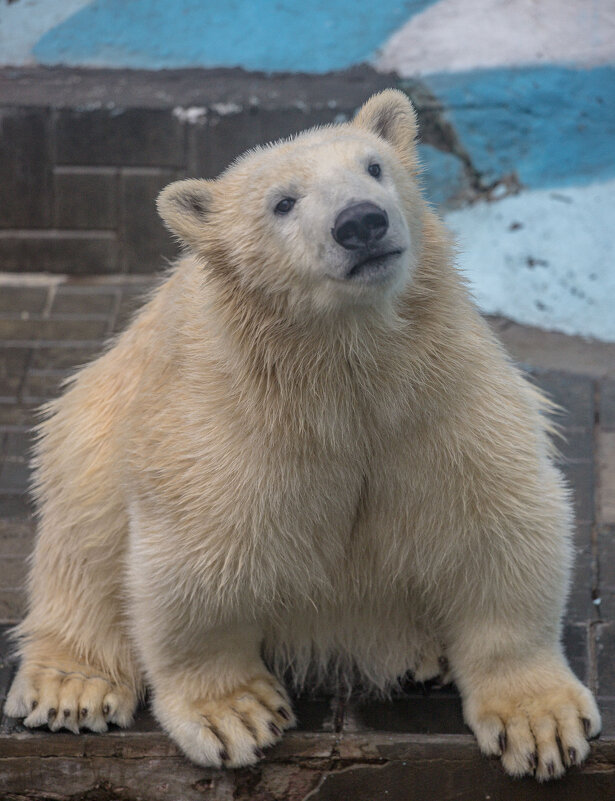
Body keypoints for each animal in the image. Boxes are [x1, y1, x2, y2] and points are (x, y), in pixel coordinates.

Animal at [4, 90, 600, 780]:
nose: (361, 222)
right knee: (83, 530)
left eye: (374, 166)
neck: (340, 375)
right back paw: (71, 687)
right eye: (282, 202)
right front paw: (235, 713)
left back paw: (423, 653)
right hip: (95, 419)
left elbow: (500, 522)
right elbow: (199, 559)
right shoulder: (224, 420)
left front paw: (541, 722)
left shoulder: (441, 397)